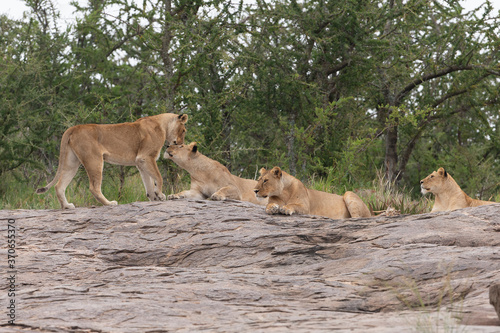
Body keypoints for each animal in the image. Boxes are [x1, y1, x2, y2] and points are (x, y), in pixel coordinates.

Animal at [35, 113, 188, 209]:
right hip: (94, 159)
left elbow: (148, 182)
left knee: (59, 186)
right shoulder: (145, 156)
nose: (181, 144)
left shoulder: (140, 162)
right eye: (184, 130)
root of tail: (73, 127)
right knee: (94, 187)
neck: (163, 125)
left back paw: (67, 206)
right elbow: (158, 177)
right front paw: (160, 195)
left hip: (71, 162)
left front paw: (153, 197)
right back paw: (109, 203)